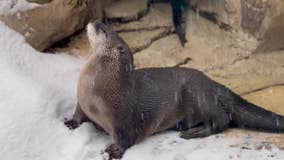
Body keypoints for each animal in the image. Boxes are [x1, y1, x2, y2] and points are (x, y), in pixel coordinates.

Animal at [65, 21, 284, 159]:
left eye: (104, 30)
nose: (94, 21)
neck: (100, 89)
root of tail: (215, 85)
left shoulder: (124, 118)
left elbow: (127, 137)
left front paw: (115, 150)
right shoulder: (82, 102)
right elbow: (78, 113)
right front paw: (71, 123)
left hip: (201, 97)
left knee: (221, 121)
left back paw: (192, 133)